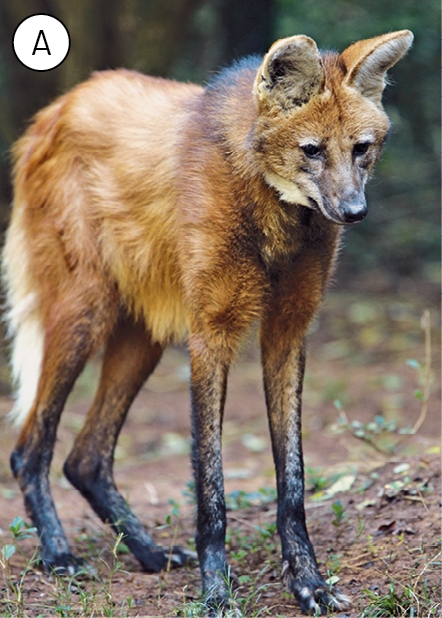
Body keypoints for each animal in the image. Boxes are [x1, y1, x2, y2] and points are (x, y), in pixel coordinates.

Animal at [1, 30, 412, 616]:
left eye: (361, 148)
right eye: (311, 150)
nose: (354, 212)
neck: (275, 210)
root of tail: (55, 108)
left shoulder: (287, 330)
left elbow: (293, 481)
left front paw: (309, 582)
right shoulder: (212, 334)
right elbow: (211, 486)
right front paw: (217, 594)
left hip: (144, 336)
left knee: (87, 458)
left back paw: (150, 554)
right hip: (84, 313)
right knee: (30, 449)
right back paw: (60, 556)